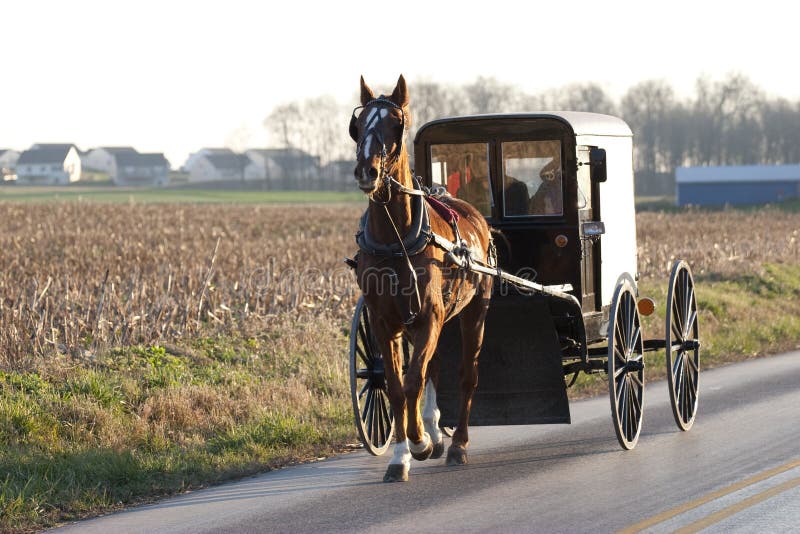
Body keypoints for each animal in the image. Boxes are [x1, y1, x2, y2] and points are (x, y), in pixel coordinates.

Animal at [352, 74, 490, 482]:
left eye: (395, 122)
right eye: (358, 124)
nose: (367, 171)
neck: (394, 238)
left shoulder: (430, 315)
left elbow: (413, 381)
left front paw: (419, 442)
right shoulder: (384, 321)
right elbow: (397, 386)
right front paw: (402, 455)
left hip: (473, 311)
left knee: (465, 375)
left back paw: (457, 444)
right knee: (434, 367)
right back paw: (435, 431)